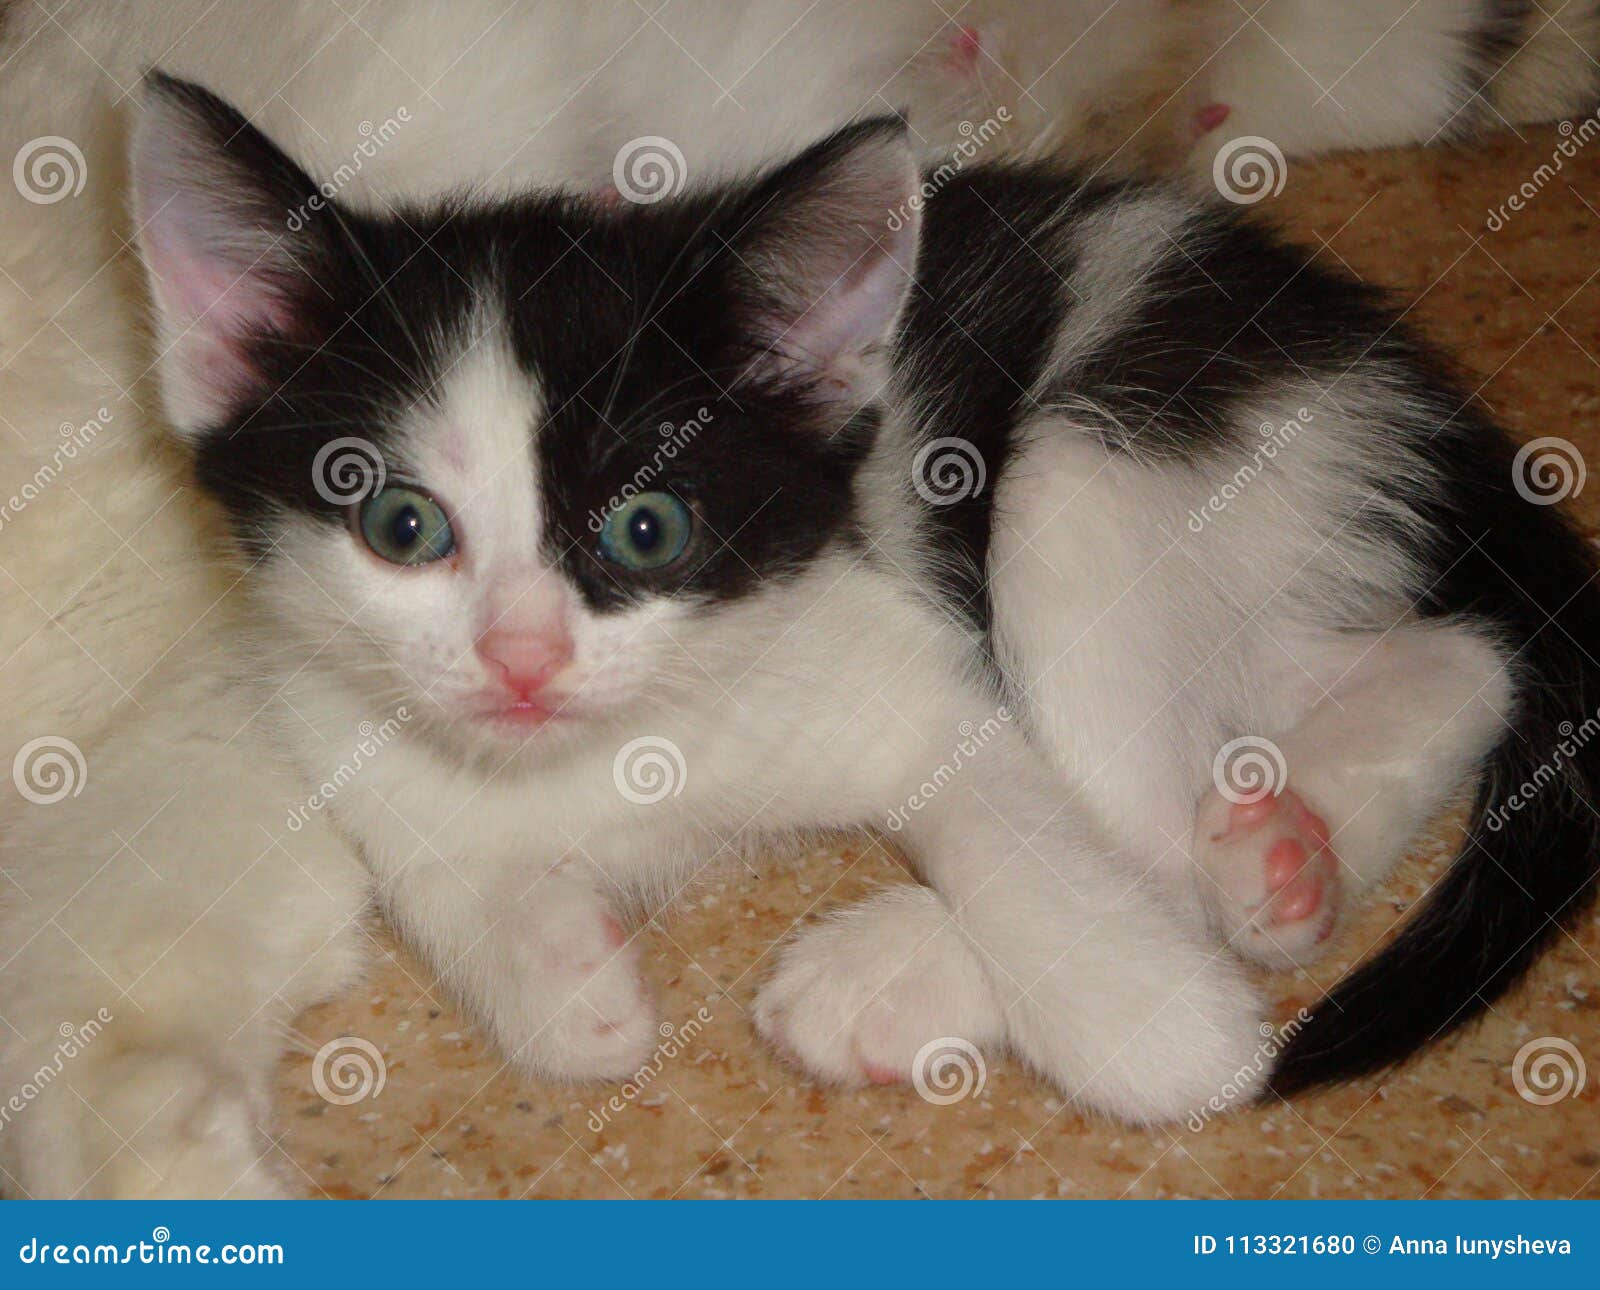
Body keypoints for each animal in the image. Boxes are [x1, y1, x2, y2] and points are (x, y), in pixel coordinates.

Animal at [6, 73, 1593, 1203]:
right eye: (400, 523)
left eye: (650, 528)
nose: (525, 662)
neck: (625, 754)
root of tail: (1398, 366)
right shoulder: (326, 714)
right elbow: (458, 881)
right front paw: (560, 963)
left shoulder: (896, 656)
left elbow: (1017, 824)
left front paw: (1155, 1028)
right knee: (1452, 659)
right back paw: (1287, 852)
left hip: (1108, 459)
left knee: (1150, 805)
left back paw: (910, 971)